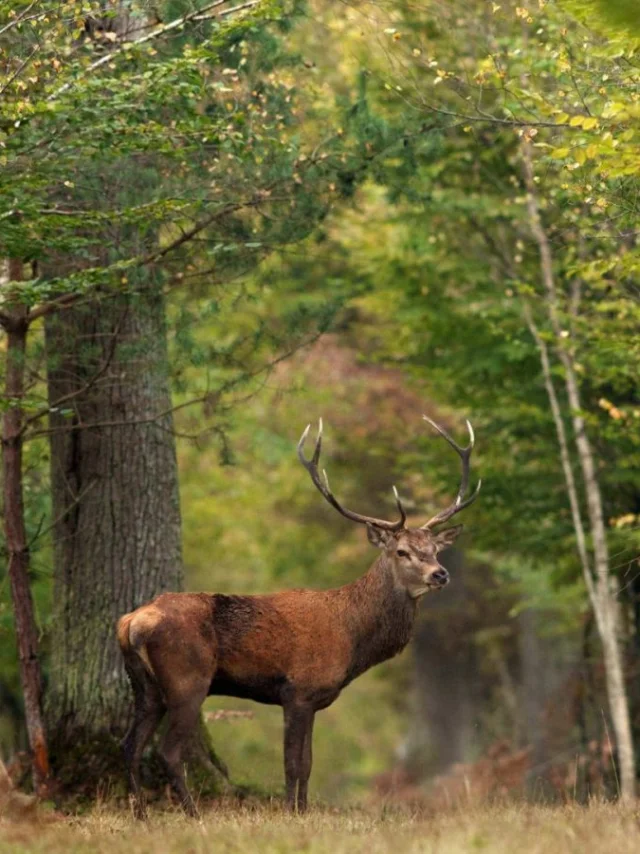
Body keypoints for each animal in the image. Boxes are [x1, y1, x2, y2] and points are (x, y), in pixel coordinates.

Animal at [117, 415, 480, 819]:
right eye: (402, 551)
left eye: (434, 549)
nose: (440, 574)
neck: (352, 637)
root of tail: (131, 623)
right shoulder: (299, 690)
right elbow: (293, 764)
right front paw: (291, 812)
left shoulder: (313, 698)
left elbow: (307, 763)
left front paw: (302, 810)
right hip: (187, 680)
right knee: (167, 751)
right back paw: (192, 813)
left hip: (145, 686)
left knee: (129, 746)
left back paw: (140, 813)